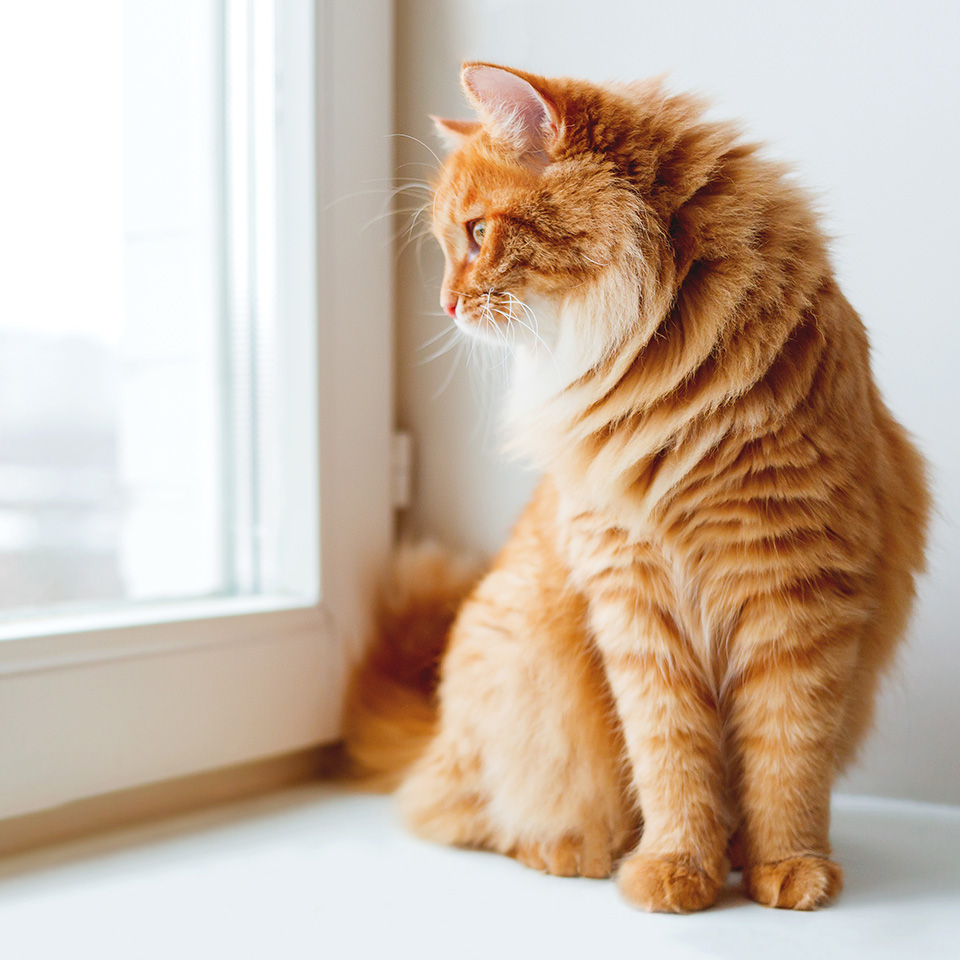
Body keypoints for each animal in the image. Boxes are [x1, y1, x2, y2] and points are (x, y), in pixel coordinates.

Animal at [342, 63, 928, 912]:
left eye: (478, 235)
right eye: (451, 244)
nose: (446, 304)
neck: (669, 384)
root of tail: (436, 735)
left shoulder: (796, 597)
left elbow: (786, 761)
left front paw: (788, 867)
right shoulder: (636, 605)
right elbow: (672, 760)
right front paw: (676, 869)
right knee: (467, 815)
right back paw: (573, 850)